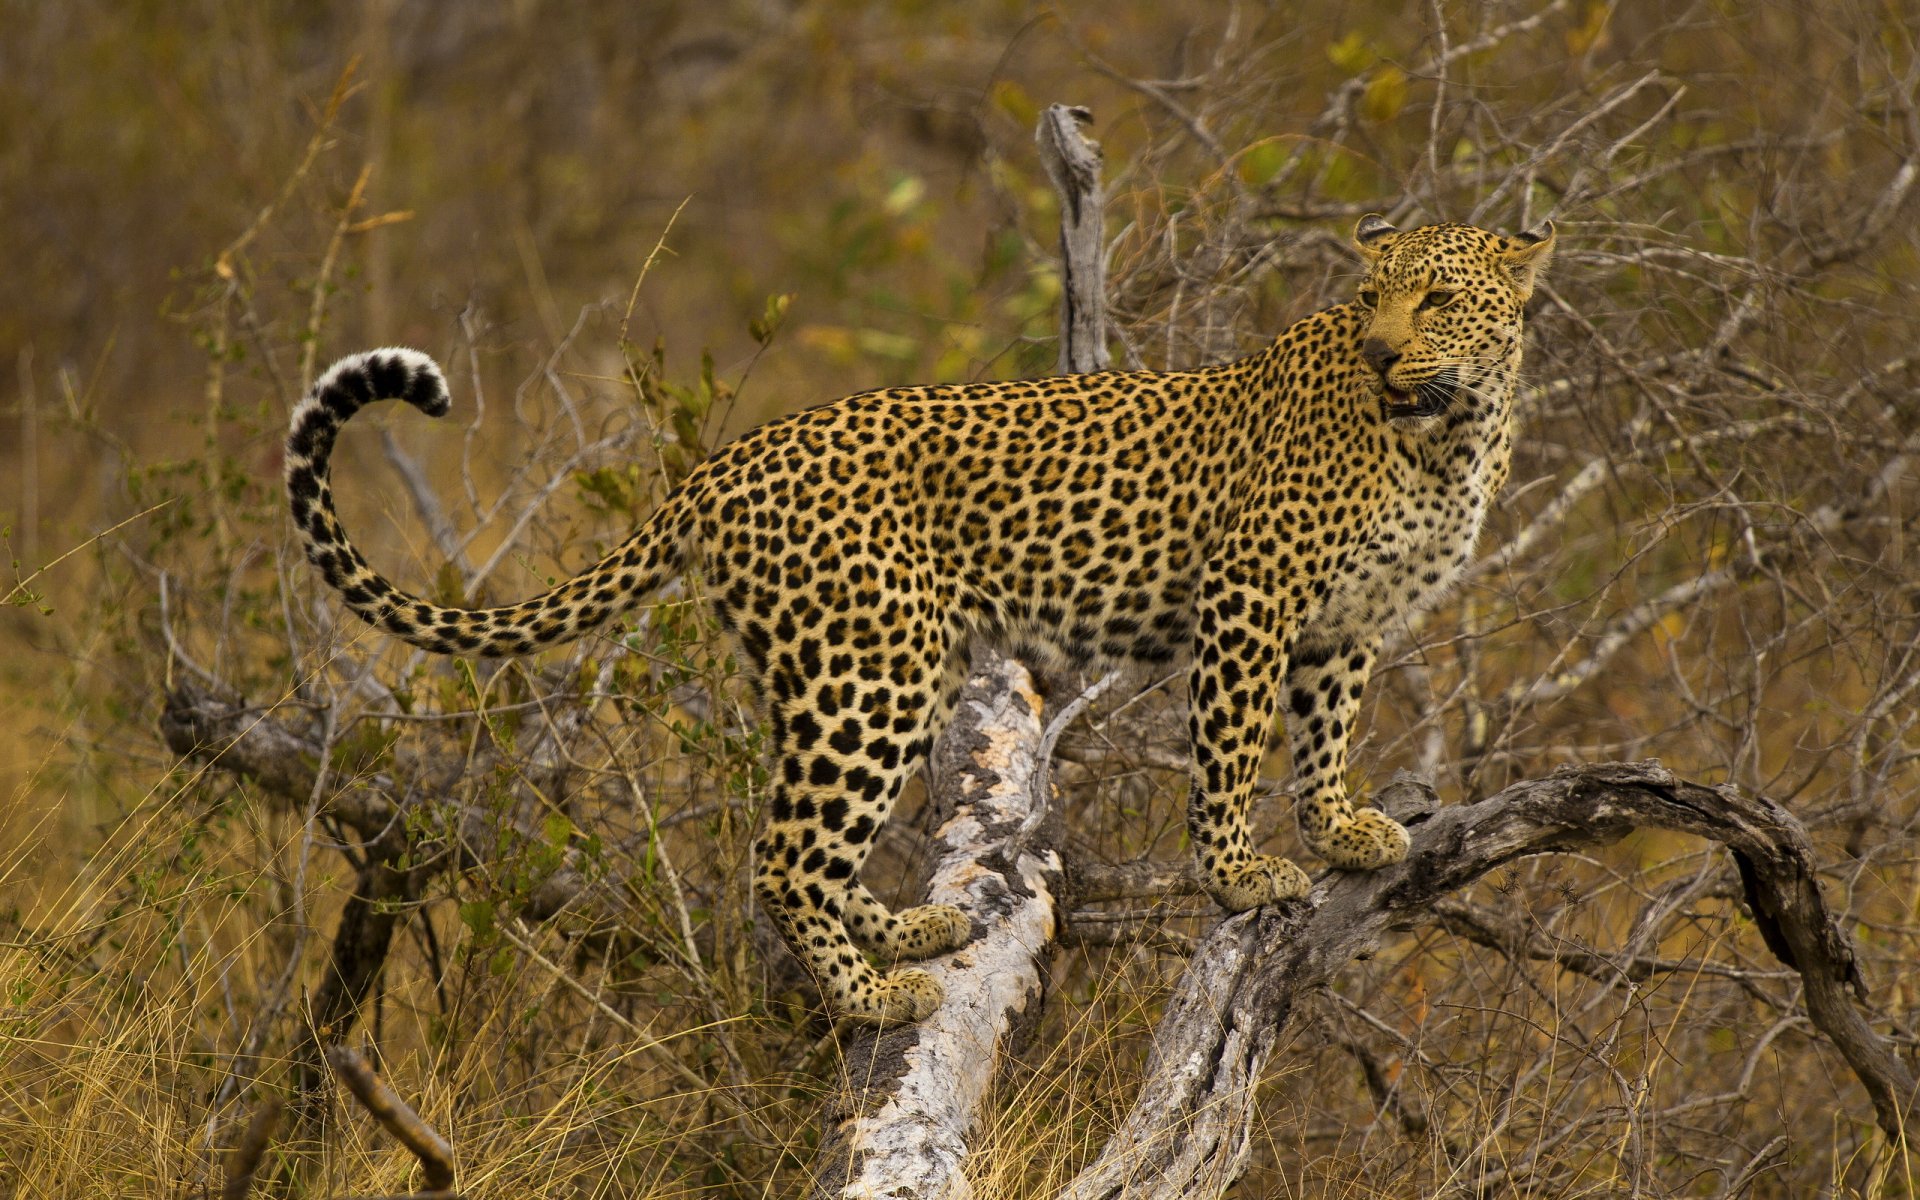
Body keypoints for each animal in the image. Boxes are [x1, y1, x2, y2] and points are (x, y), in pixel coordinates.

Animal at [285, 215, 1555, 1025]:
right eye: (1371, 299)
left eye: (1436, 298)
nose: (1383, 350)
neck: (1451, 429)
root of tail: (721, 466)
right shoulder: (1253, 594)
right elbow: (1234, 750)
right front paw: (1244, 876)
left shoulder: (1345, 621)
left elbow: (1325, 731)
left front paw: (1342, 828)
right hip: (873, 674)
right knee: (782, 856)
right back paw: (871, 997)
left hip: (850, 670)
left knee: (810, 839)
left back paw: (902, 937)